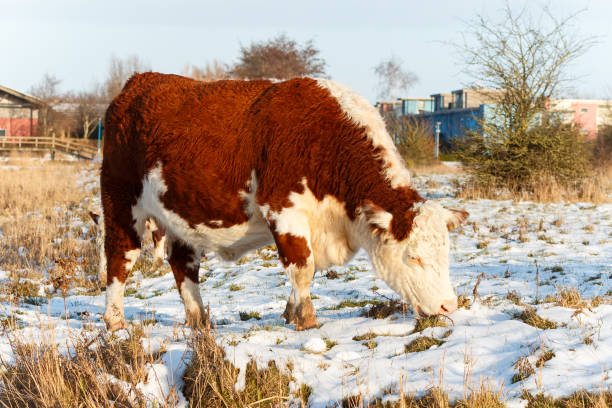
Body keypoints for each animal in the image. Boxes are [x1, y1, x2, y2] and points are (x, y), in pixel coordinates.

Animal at [100, 71, 466, 330]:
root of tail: (140, 81)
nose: (449, 305)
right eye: (414, 257)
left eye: (447, 253)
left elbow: (309, 269)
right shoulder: (284, 210)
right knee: (120, 258)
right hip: (121, 202)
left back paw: (199, 320)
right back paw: (115, 321)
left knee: (183, 264)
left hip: (179, 215)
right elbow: (302, 266)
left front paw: (290, 313)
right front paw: (306, 319)